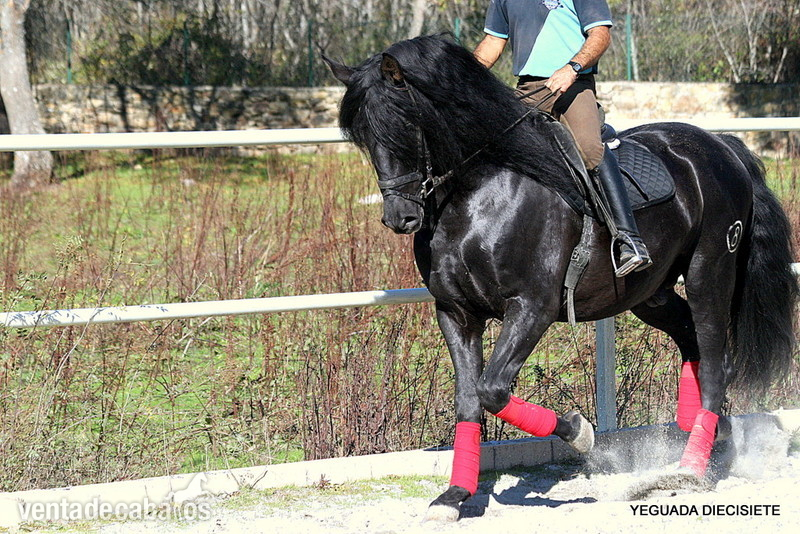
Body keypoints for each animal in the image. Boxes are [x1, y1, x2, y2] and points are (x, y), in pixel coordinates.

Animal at [324, 34, 797, 521]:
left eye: (402, 123)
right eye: (363, 136)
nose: (400, 218)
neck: (479, 194)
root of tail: (720, 146)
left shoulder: (531, 307)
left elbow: (492, 389)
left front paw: (578, 429)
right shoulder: (455, 313)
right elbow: (469, 400)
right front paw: (453, 497)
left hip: (709, 273)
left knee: (717, 358)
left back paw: (689, 469)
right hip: (651, 294)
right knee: (691, 341)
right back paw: (708, 432)